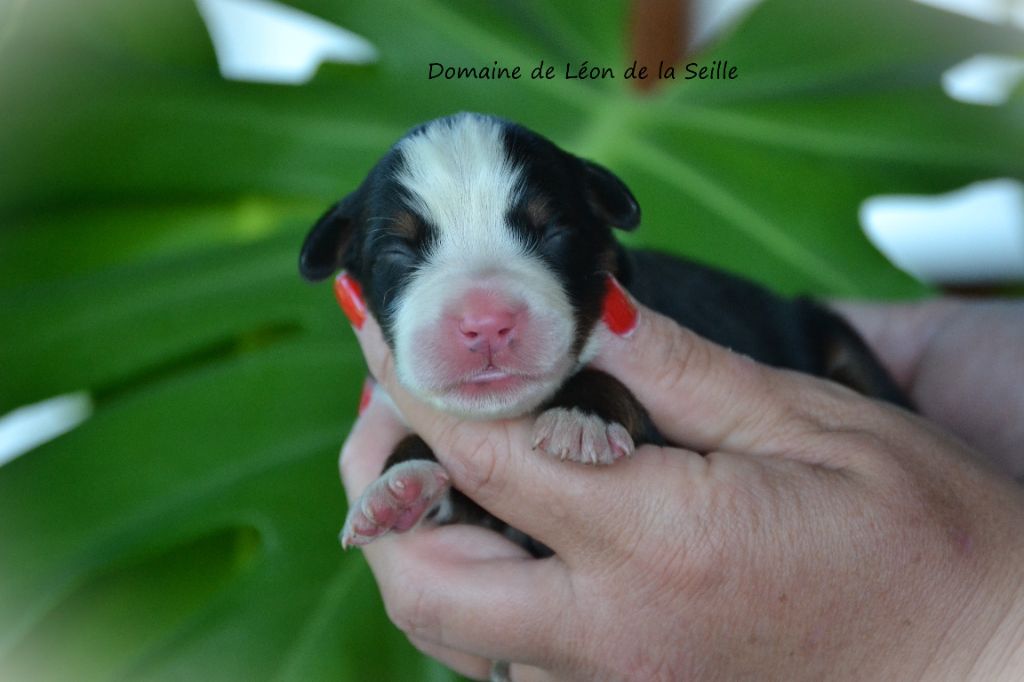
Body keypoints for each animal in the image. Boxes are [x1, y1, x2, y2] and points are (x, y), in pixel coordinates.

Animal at [299, 109, 909, 561]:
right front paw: (395, 487)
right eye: (398, 252)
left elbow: (612, 382)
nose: (487, 321)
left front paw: (581, 415)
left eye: (552, 232)